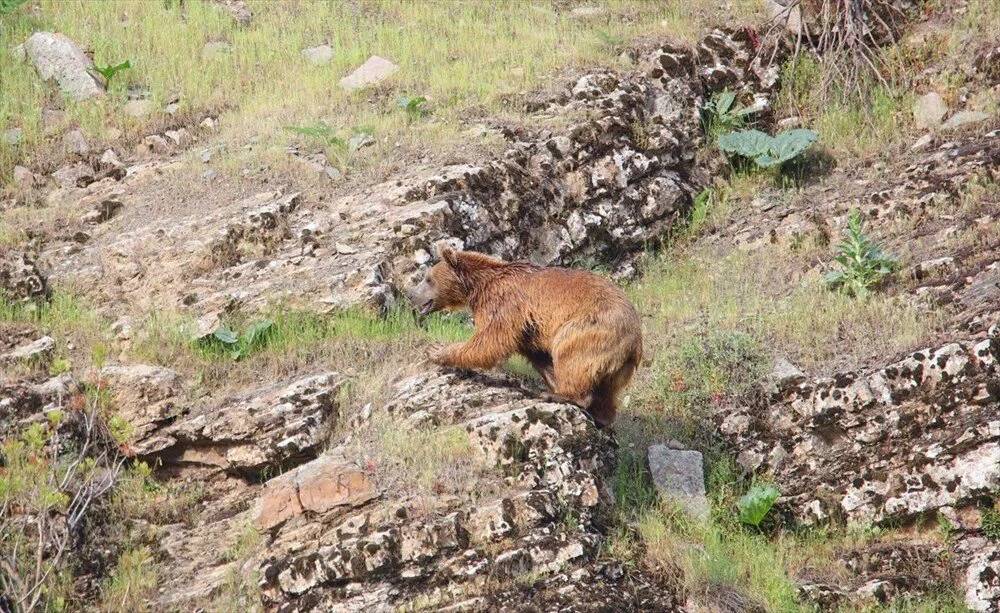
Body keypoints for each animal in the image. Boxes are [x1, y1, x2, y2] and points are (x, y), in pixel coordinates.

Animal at [410, 244, 644, 426]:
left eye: (428, 278)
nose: (411, 295)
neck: (478, 286)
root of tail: (635, 342)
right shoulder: (529, 328)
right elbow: (538, 356)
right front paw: (551, 378)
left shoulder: (505, 304)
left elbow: (489, 341)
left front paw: (436, 351)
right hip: (619, 367)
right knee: (606, 391)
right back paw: (601, 415)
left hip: (588, 329)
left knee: (570, 355)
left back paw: (560, 395)